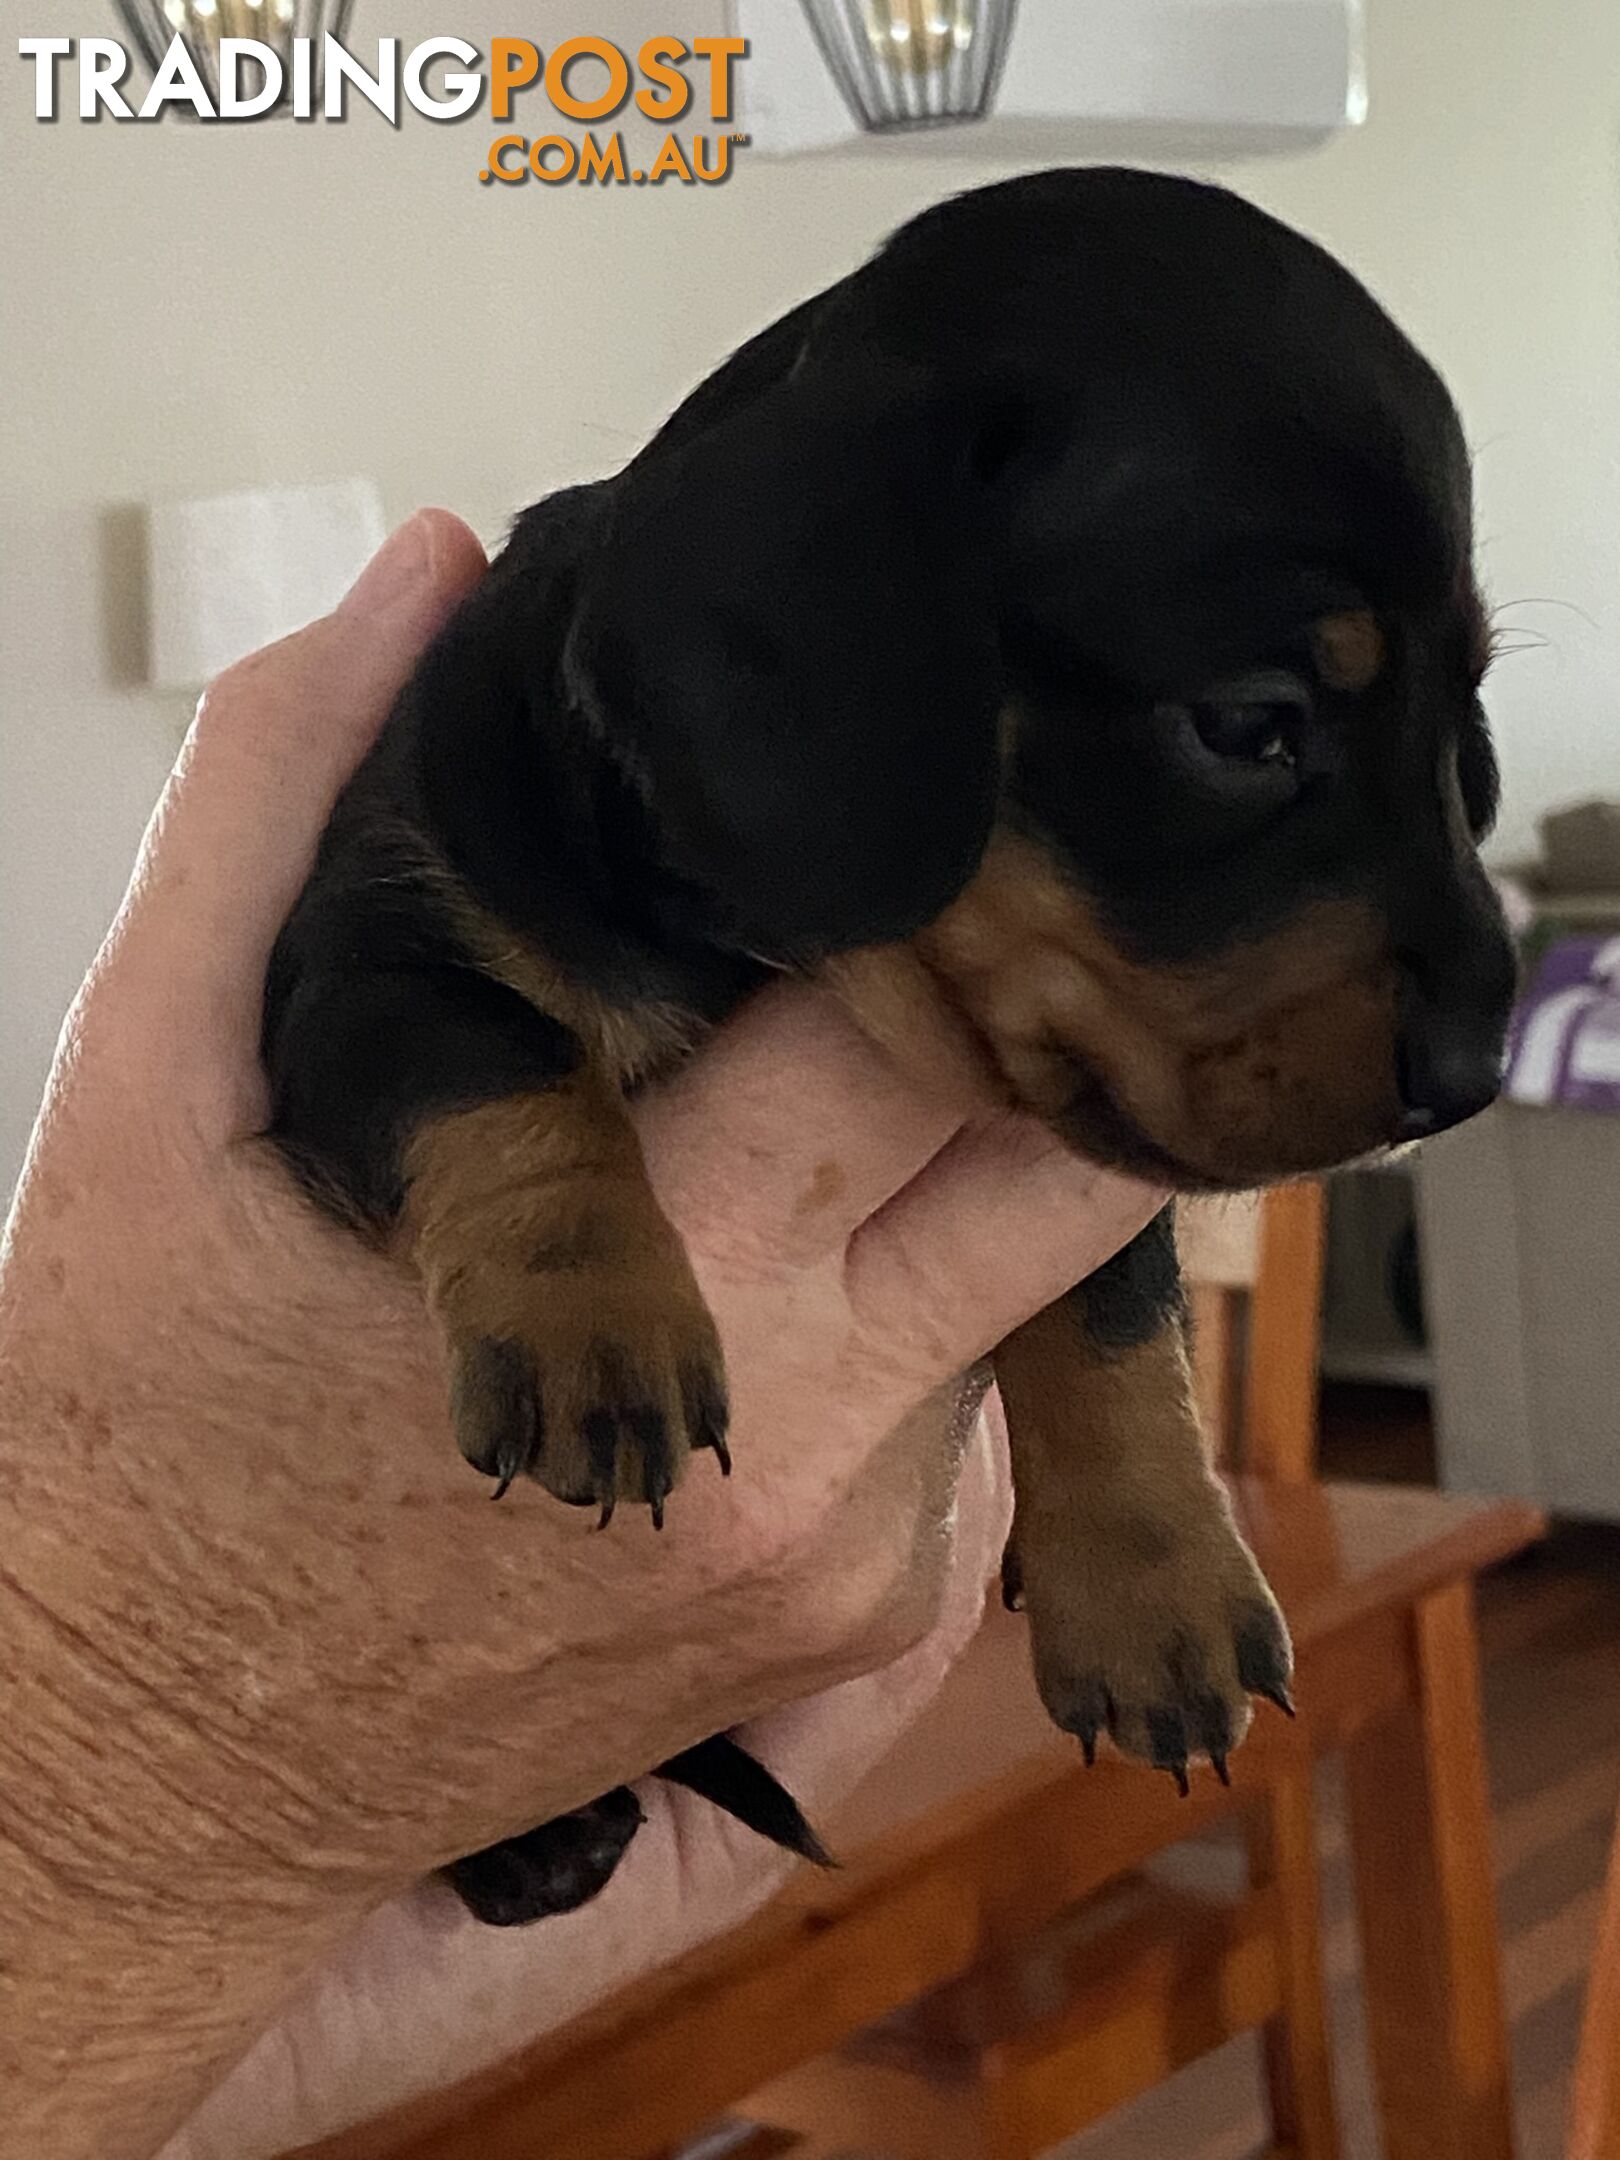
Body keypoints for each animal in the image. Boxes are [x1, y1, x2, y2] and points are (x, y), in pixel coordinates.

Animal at [263, 168, 1520, 1926]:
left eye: (1466, 723)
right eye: (1248, 725)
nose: (1478, 1074)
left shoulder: (1084, 1134)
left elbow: (1116, 1308)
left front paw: (1162, 1585)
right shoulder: (365, 963)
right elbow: (503, 1059)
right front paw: (595, 1319)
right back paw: (530, 1836)